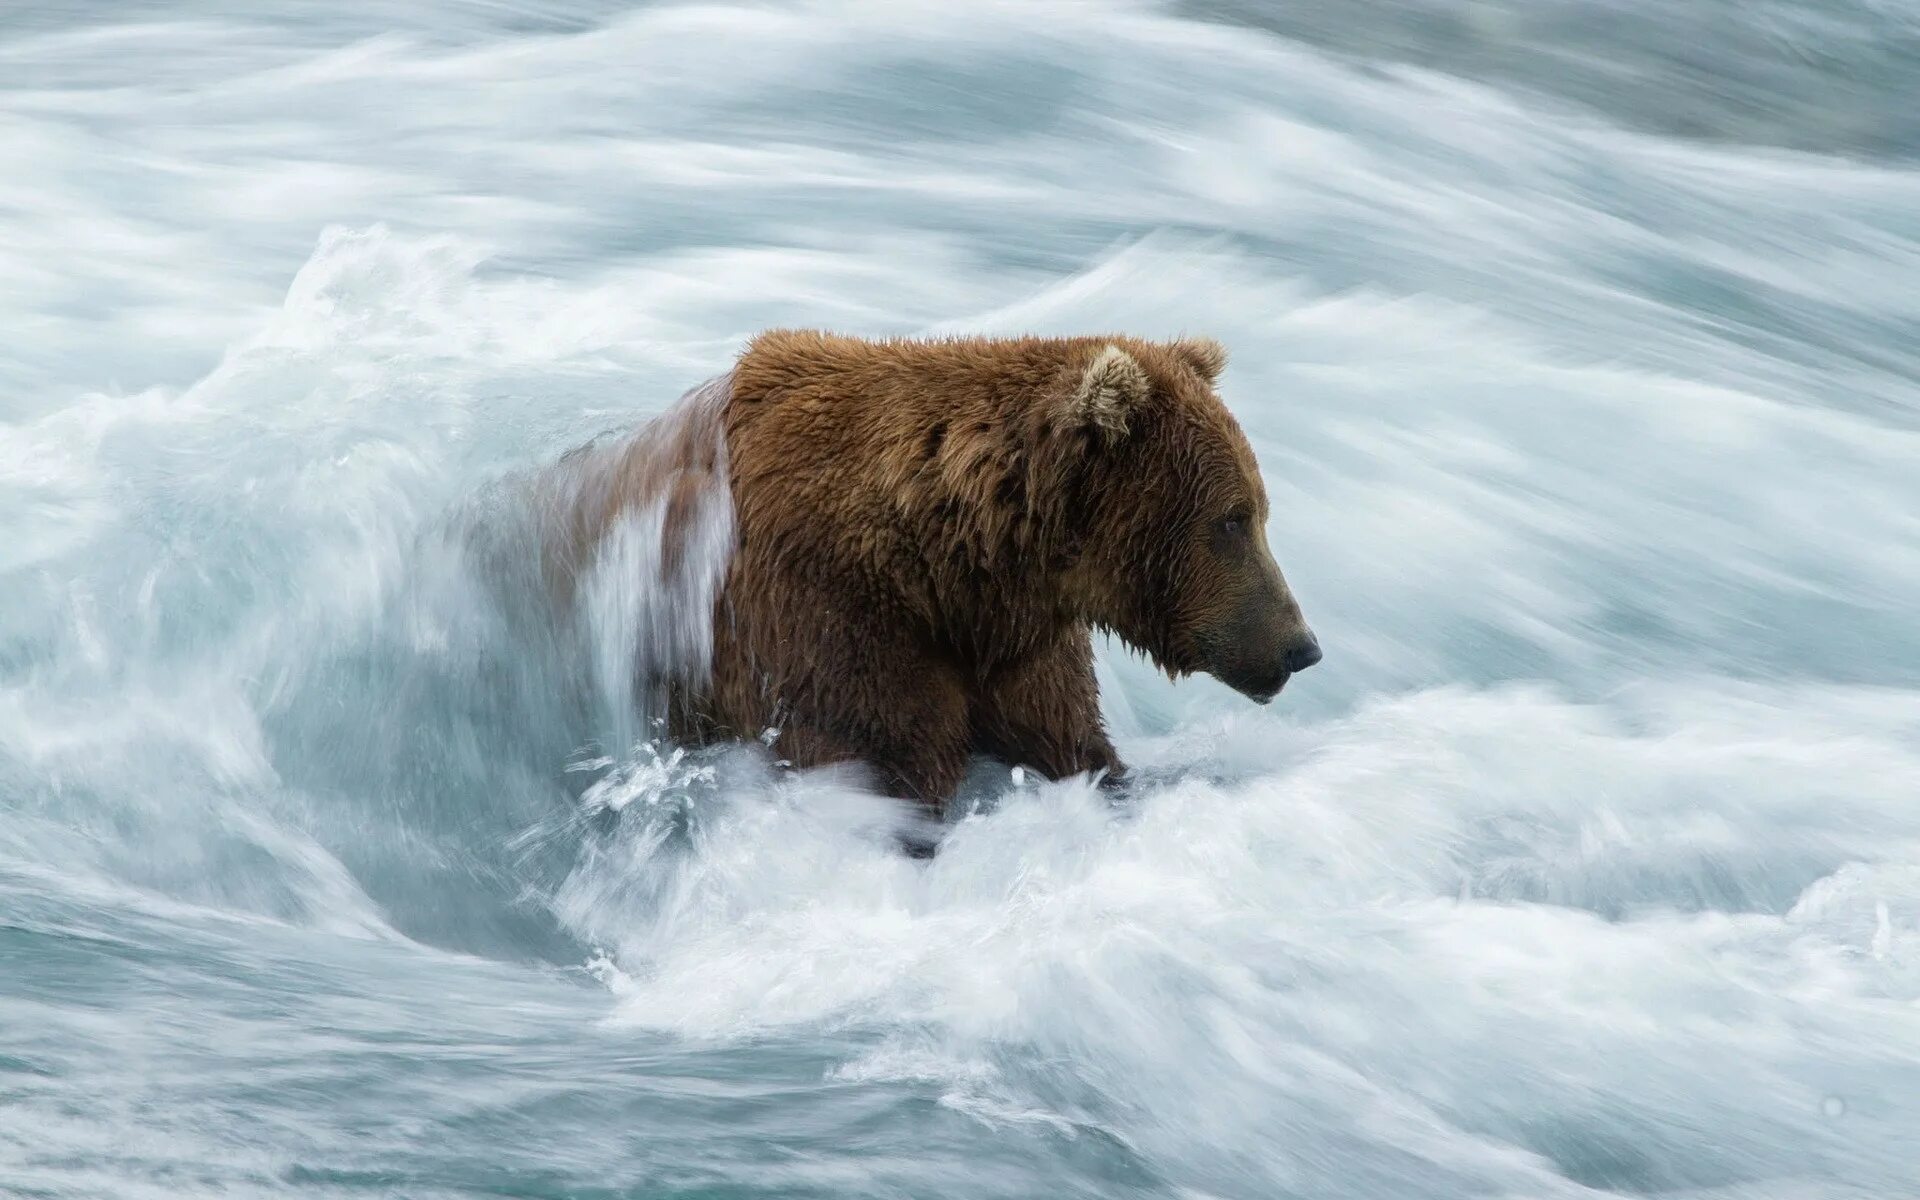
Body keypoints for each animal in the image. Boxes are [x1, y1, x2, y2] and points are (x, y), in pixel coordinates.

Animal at [541, 332, 1320, 821]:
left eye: (1258, 510)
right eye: (1232, 519)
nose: (1302, 646)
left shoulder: (1018, 655)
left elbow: (1078, 749)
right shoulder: (827, 623)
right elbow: (882, 762)